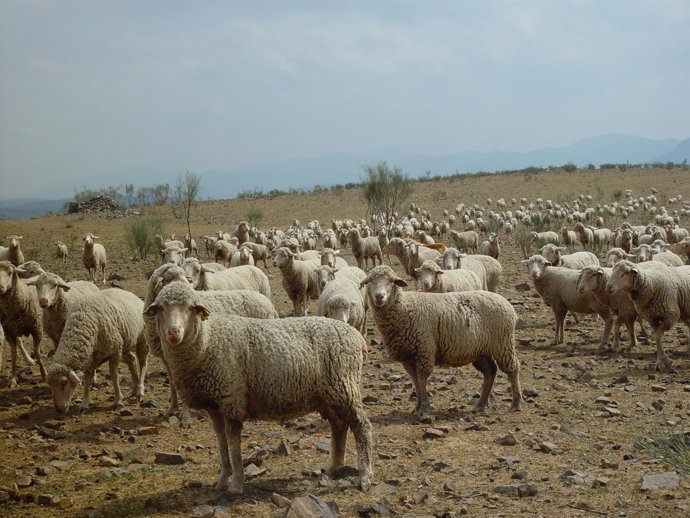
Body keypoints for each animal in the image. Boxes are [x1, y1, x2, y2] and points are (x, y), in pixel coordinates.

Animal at [143, 264, 278, 417]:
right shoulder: (167, 358)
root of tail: (268, 303)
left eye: (185, 277)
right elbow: (172, 383)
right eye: (169, 278)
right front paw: (172, 409)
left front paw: (185, 414)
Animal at [146, 281, 373, 494]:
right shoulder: (215, 405)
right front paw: (222, 478)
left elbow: (234, 444)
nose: (173, 332)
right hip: (331, 395)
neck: (207, 340)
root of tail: (357, 338)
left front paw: (236, 482)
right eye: (161, 308)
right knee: (339, 426)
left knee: (361, 426)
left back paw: (364, 475)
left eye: (190, 307)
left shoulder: (232, 398)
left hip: (345, 386)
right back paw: (333, 468)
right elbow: (221, 441)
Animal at [360, 265, 521, 416]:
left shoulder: (424, 349)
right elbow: (415, 380)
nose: (379, 296)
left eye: (391, 281)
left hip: (503, 343)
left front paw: (424, 408)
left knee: (512, 369)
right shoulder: (408, 356)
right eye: (370, 281)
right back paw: (480, 405)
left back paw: (515, 403)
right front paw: (417, 407)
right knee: (490, 371)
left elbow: (422, 379)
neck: (404, 307)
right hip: (480, 350)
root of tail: (506, 303)